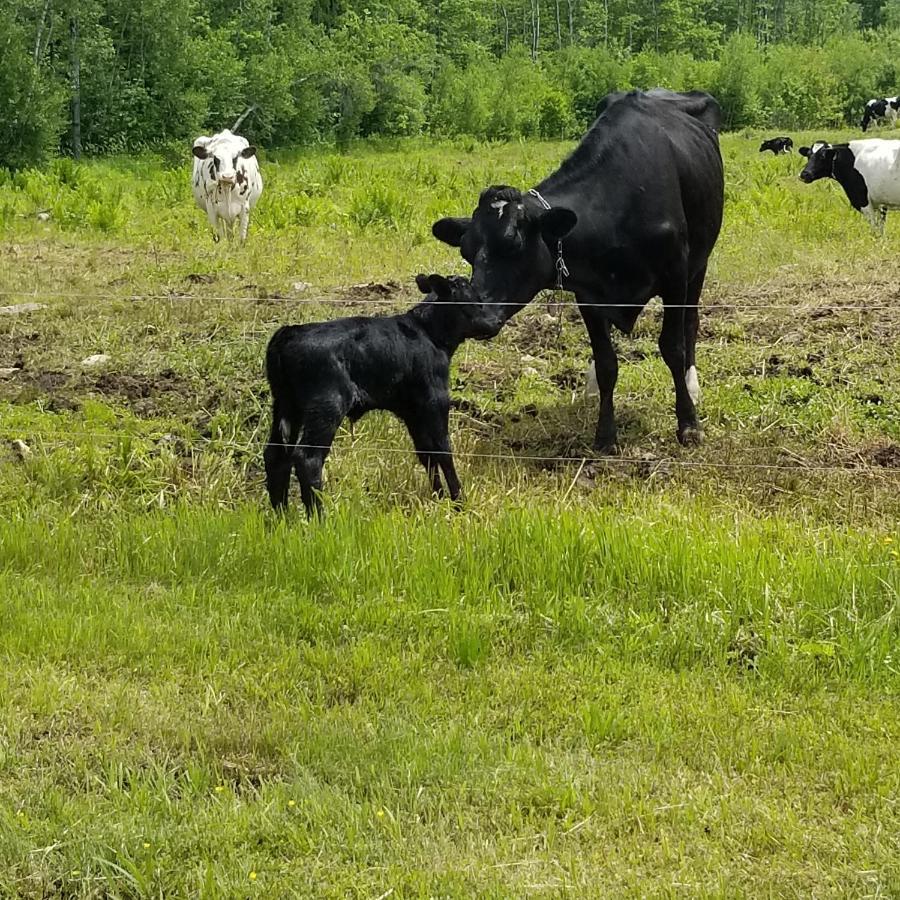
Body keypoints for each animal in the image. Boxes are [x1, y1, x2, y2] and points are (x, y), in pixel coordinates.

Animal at [264, 272, 502, 512]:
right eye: (475, 301)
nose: (497, 321)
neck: (428, 332)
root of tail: (290, 331)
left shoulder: (412, 410)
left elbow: (426, 452)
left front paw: (439, 497)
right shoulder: (435, 400)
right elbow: (443, 450)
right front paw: (459, 502)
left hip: (285, 405)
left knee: (276, 455)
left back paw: (281, 514)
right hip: (327, 406)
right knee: (308, 458)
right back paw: (319, 516)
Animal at [430, 89, 724, 448]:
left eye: (514, 243)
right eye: (467, 252)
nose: (478, 316)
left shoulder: (675, 274)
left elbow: (673, 346)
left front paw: (688, 424)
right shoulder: (588, 291)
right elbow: (607, 362)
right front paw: (605, 435)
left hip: (700, 262)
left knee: (691, 323)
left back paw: (692, 386)